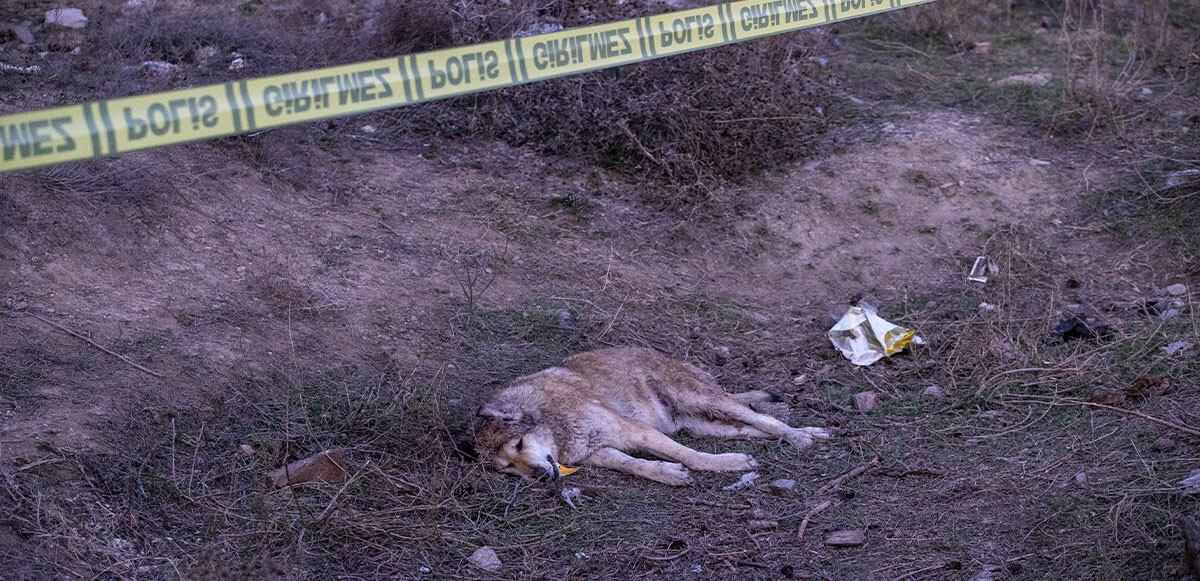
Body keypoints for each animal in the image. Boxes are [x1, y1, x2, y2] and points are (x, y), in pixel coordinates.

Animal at [470, 348, 835, 482]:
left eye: (518, 445)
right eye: (507, 467)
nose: (540, 477)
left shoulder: (635, 431)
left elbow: (690, 456)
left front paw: (726, 464)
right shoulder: (600, 453)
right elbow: (635, 465)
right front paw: (666, 473)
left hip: (702, 399)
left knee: (760, 417)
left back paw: (801, 436)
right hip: (708, 426)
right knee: (751, 426)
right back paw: (810, 434)